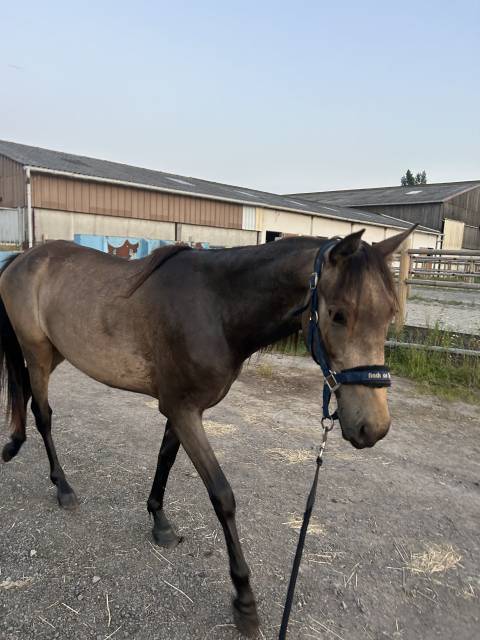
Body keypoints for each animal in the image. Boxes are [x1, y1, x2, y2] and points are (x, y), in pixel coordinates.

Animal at [0, 227, 413, 636]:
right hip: (37, 351)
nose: (373, 427)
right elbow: (222, 496)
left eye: (389, 315)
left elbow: (165, 459)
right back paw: (63, 487)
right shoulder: (184, 412)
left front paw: (159, 521)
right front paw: (244, 600)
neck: (217, 307)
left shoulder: (180, 410)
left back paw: (15, 446)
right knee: (43, 415)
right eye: (338, 314)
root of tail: (23, 258)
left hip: (57, 352)